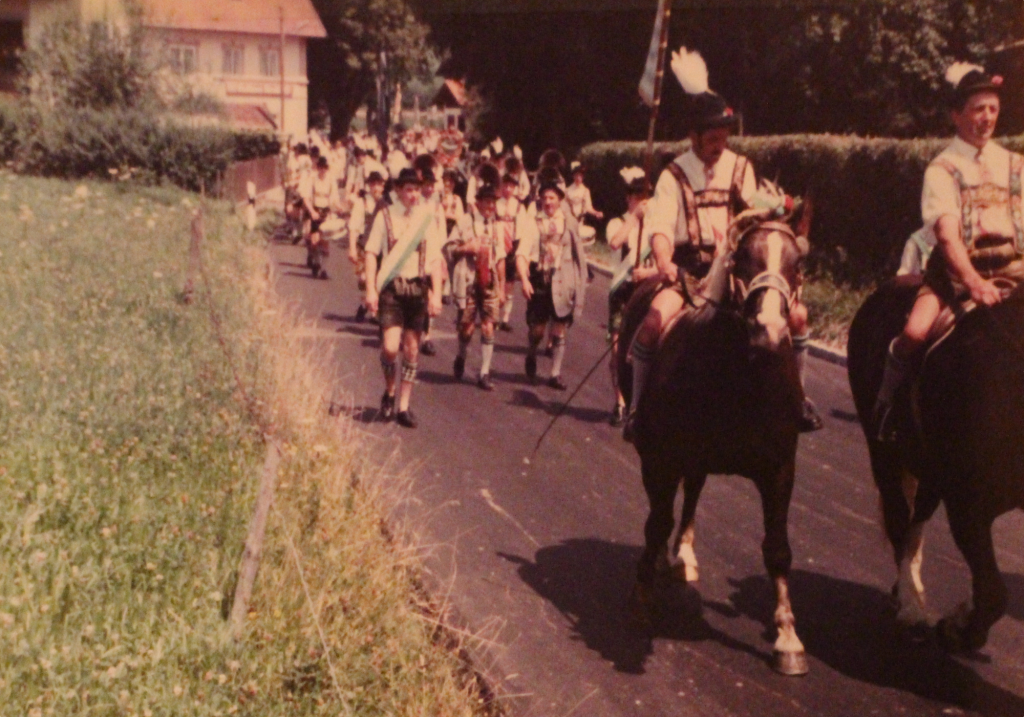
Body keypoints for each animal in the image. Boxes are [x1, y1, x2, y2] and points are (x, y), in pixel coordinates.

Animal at [618, 208, 811, 676]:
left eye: (798, 264)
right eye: (742, 259)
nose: (768, 330)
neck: (741, 377)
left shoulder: (780, 469)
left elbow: (778, 550)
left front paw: (788, 637)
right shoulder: (661, 459)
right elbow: (655, 524)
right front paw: (641, 599)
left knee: (693, 494)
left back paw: (684, 556)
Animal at [851, 276, 1024, 651]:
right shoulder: (967, 507)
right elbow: (994, 592)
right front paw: (961, 629)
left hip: (930, 472)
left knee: (916, 519)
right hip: (883, 454)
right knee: (899, 519)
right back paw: (911, 605)